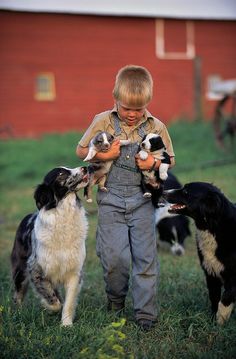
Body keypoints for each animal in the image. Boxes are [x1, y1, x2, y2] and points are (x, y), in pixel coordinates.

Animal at [10, 167, 89, 328]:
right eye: (61, 174)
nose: (85, 168)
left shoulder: (74, 271)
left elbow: (68, 302)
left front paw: (66, 324)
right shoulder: (36, 268)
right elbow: (53, 300)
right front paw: (49, 307)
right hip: (20, 270)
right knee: (18, 295)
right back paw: (18, 314)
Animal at [163, 183, 236, 326]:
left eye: (186, 191)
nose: (163, 192)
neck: (213, 227)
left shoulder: (233, 275)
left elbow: (226, 298)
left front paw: (221, 321)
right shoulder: (211, 272)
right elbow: (214, 298)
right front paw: (213, 321)